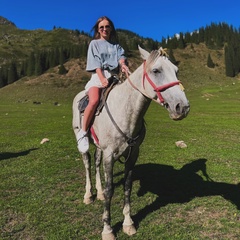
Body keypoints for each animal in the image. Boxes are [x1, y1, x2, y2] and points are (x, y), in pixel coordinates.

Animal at [72, 45, 190, 240]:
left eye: (176, 70)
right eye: (156, 70)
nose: (182, 107)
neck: (125, 111)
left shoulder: (133, 154)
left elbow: (127, 187)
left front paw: (128, 223)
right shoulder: (110, 155)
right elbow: (110, 189)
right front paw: (107, 229)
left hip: (99, 146)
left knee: (96, 162)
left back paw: (98, 191)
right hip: (83, 139)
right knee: (87, 163)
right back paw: (89, 194)